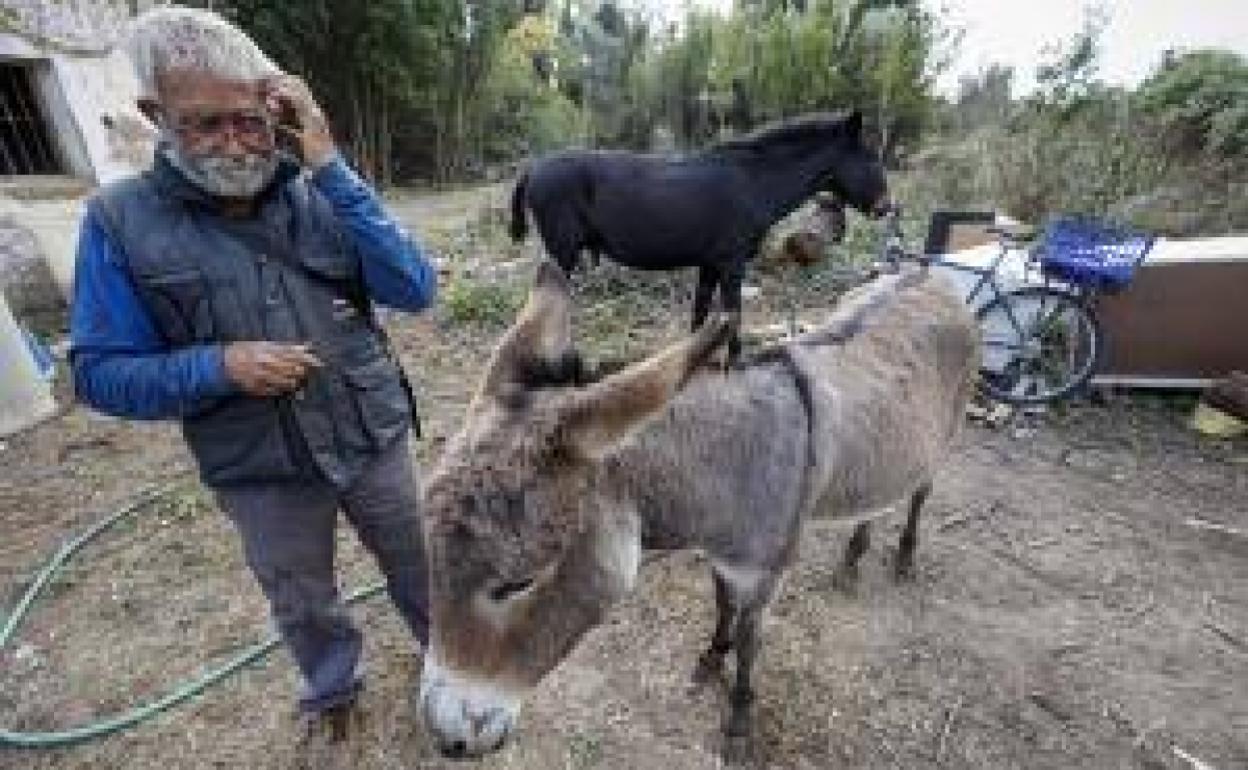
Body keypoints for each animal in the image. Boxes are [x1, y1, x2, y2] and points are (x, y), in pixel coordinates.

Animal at [506, 107, 888, 356]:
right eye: (871, 159)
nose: (888, 208)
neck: (753, 181)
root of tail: (533, 168)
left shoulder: (710, 264)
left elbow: (700, 315)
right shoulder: (732, 264)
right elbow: (732, 315)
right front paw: (734, 364)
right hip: (563, 254)